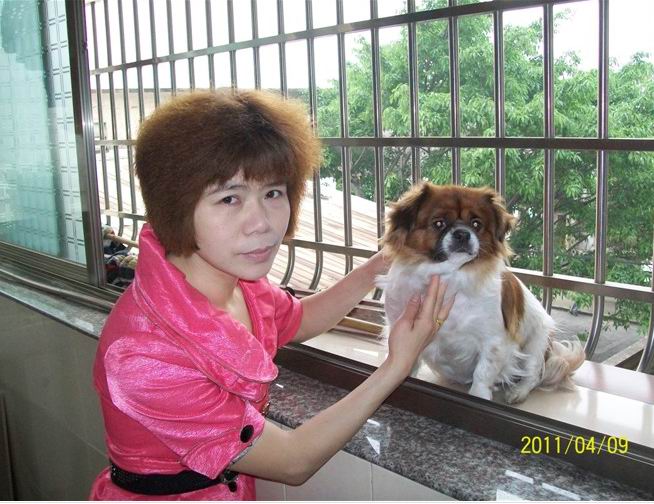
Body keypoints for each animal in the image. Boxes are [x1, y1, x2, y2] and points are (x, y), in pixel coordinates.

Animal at [376, 182, 585, 403]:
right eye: (439, 223)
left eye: (476, 224)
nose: (462, 233)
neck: (449, 277)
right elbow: (409, 363)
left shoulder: (493, 341)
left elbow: (483, 373)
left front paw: (479, 395)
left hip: (538, 341)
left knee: (534, 374)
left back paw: (518, 392)